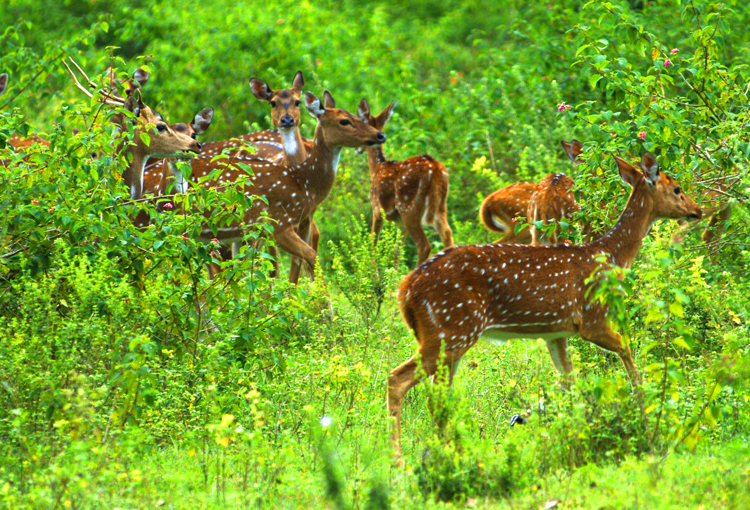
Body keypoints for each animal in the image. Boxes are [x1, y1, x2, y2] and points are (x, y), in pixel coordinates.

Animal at [177, 90, 385, 280]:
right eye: (344, 121)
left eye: (355, 115)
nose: (380, 135)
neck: (303, 183)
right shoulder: (277, 224)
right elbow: (303, 259)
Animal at [357, 99, 454, 265]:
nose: (357, 149)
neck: (377, 168)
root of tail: (434, 169)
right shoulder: (399, 222)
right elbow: (397, 252)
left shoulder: (376, 209)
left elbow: (373, 245)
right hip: (440, 204)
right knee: (447, 233)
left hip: (408, 205)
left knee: (424, 245)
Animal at [387, 151, 702, 460]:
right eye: (677, 188)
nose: (697, 211)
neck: (611, 258)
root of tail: (405, 291)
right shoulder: (592, 319)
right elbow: (627, 354)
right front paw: (646, 416)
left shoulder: (556, 331)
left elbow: (568, 380)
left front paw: (540, 421)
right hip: (452, 329)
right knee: (398, 380)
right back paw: (402, 461)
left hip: (445, 338)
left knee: (439, 398)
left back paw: (452, 453)